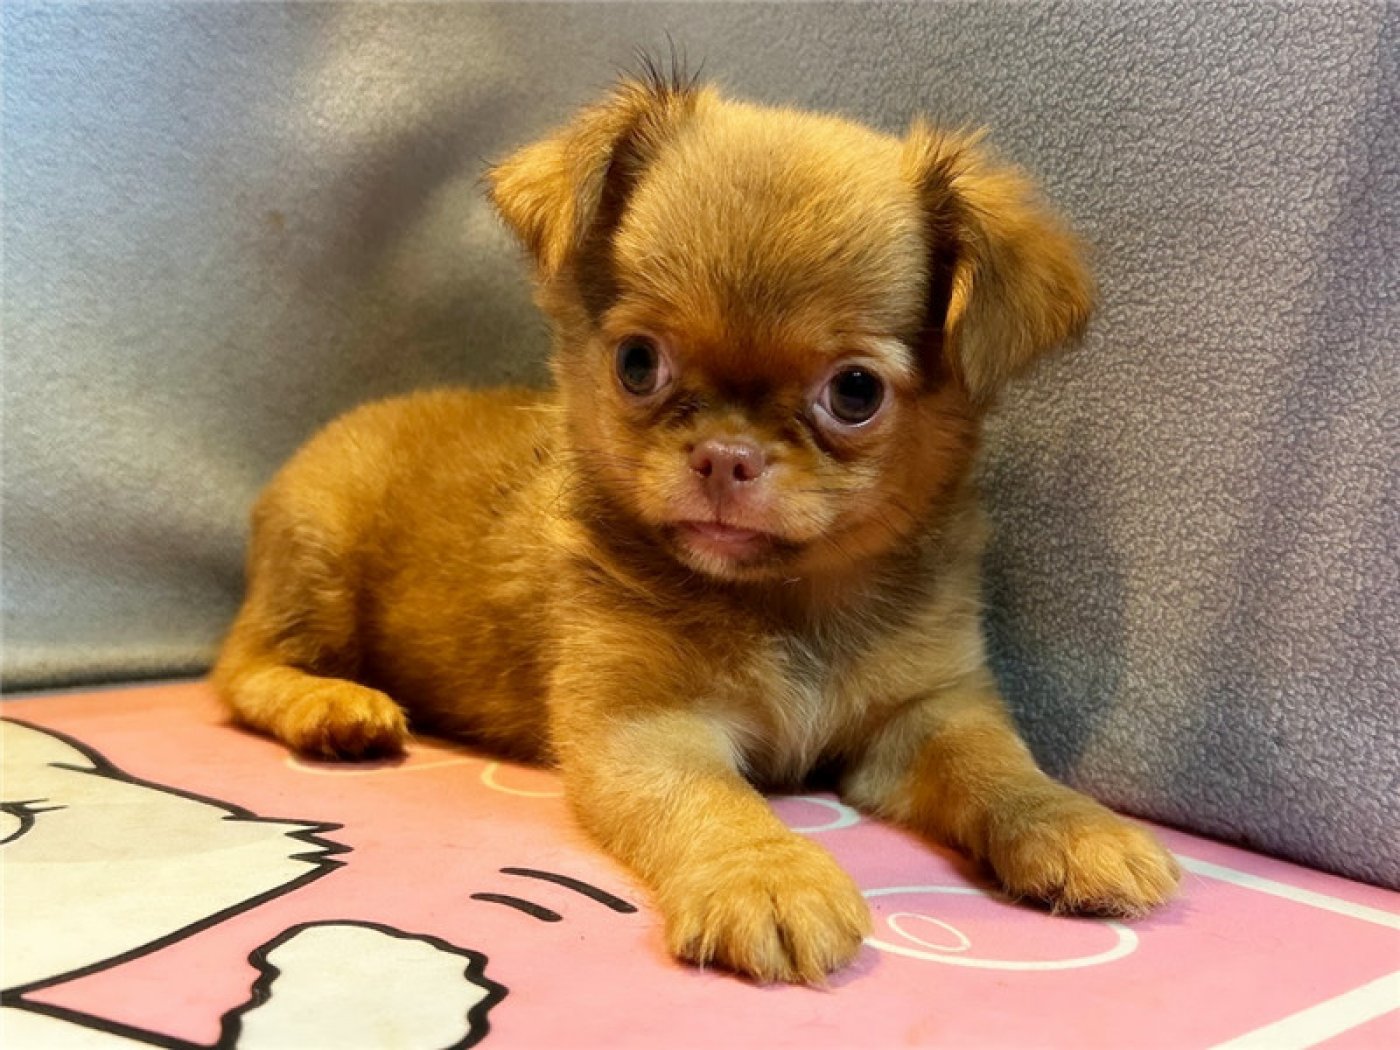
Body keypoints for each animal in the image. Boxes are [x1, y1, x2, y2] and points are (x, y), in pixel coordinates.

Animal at [213, 66, 1179, 984]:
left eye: (854, 392)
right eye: (638, 364)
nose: (725, 454)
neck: (785, 601)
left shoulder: (928, 713)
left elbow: (998, 767)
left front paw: (1072, 825)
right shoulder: (648, 728)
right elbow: (716, 803)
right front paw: (767, 876)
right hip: (319, 563)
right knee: (240, 670)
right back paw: (332, 706)